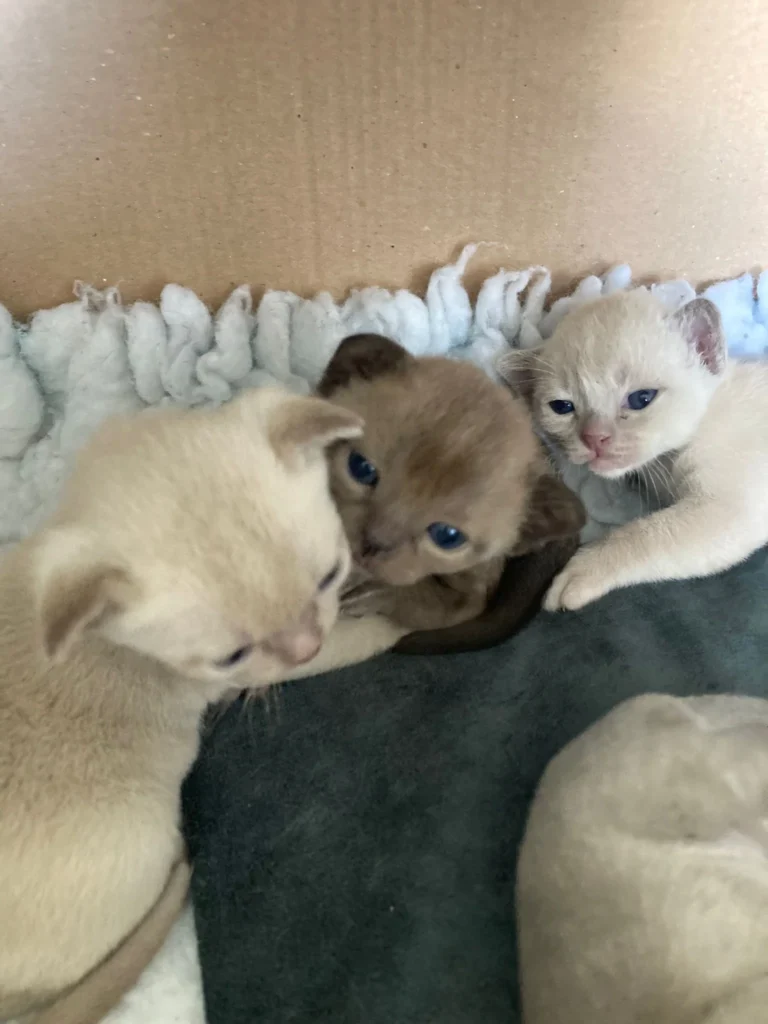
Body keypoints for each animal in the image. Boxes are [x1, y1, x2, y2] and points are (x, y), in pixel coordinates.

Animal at [0, 385, 360, 1024]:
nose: (306, 645)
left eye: (330, 574)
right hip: (141, 835)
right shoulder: (253, 676)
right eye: (230, 655)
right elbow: (371, 634)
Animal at [315, 331, 585, 651]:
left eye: (448, 536)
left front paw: (364, 594)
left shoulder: (469, 600)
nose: (372, 545)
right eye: (361, 468)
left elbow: (413, 596)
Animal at [499, 288, 768, 606]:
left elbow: (645, 535)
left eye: (642, 398)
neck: (667, 460)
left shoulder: (728, 508)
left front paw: (577, 573)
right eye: (562, 407)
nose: (594, 438)